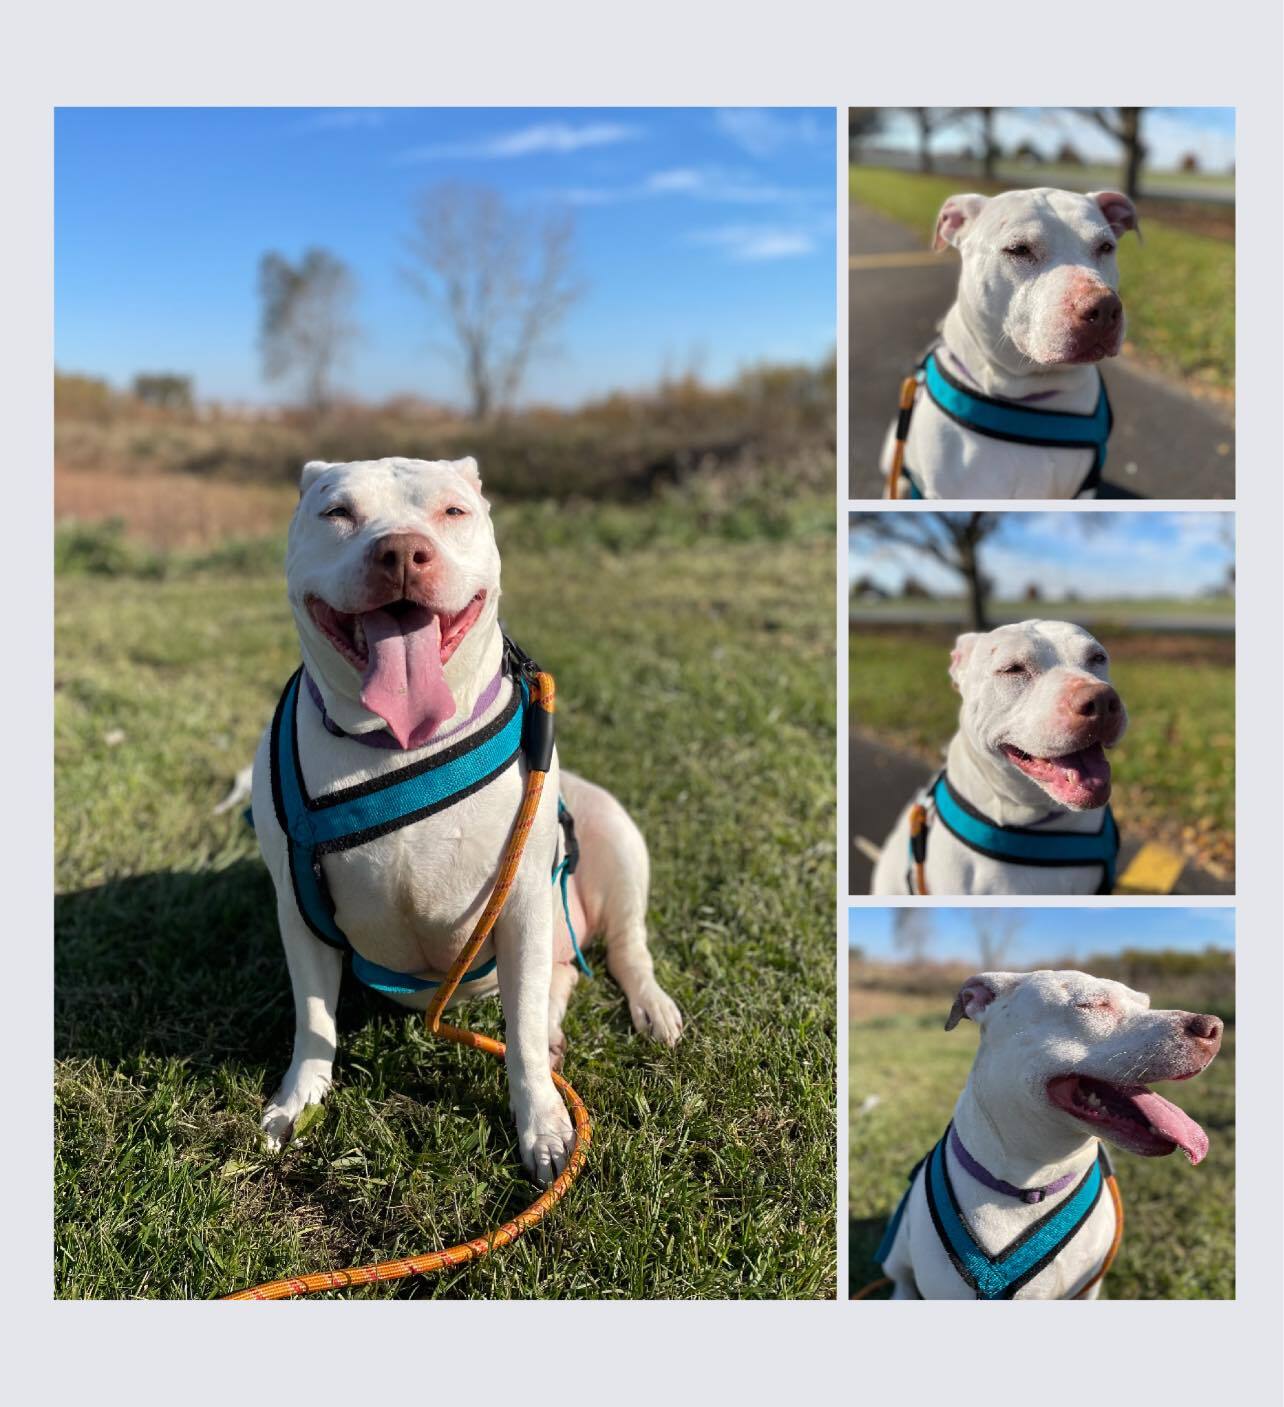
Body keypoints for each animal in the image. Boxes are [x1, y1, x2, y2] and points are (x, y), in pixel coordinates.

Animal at [254, 455, 686, 1181]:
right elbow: (314, 1018)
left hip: (614, 835)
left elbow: (521, 1041)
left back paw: (648, 1007)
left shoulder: (521, 905)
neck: (400, 744)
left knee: (624, 946)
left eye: (453, 511)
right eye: (337, 512)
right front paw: (299, 1101)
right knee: (560, 978)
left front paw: (543, 1125)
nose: (402, 551)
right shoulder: (298, 910)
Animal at [877, 973, 1215, 1300]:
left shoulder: (1086, 1289)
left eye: (1146, 1004)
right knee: (901, 1277)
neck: (1032, 1186)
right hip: (896, 1246)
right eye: (1093, 1004)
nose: (1213, 1027)